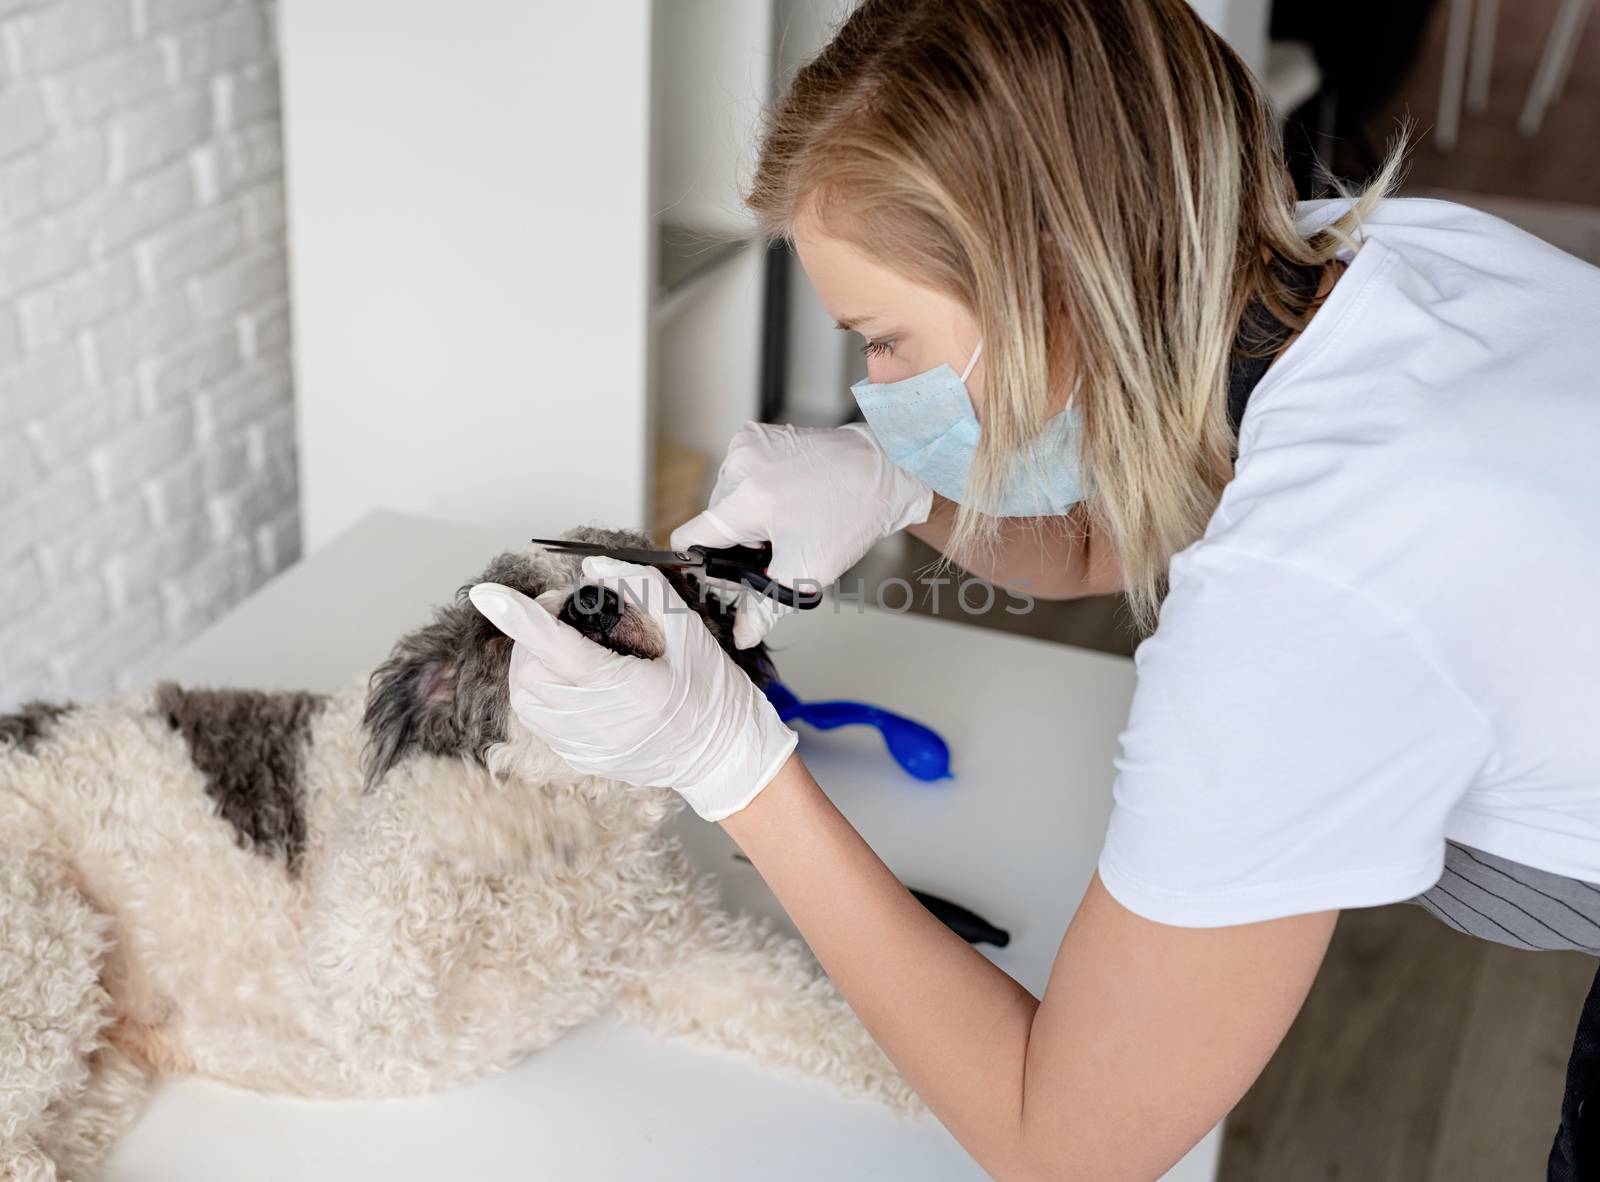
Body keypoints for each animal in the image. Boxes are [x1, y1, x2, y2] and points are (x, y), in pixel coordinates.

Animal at [0, 531, 915, 1177]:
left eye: (629, 567)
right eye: (508, 617)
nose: (590, 600)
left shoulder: (679, 954)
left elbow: (812, 1007)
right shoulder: (365, 981)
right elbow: (424, 811)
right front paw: (500, 812)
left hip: (92, 1074)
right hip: (43, 946)